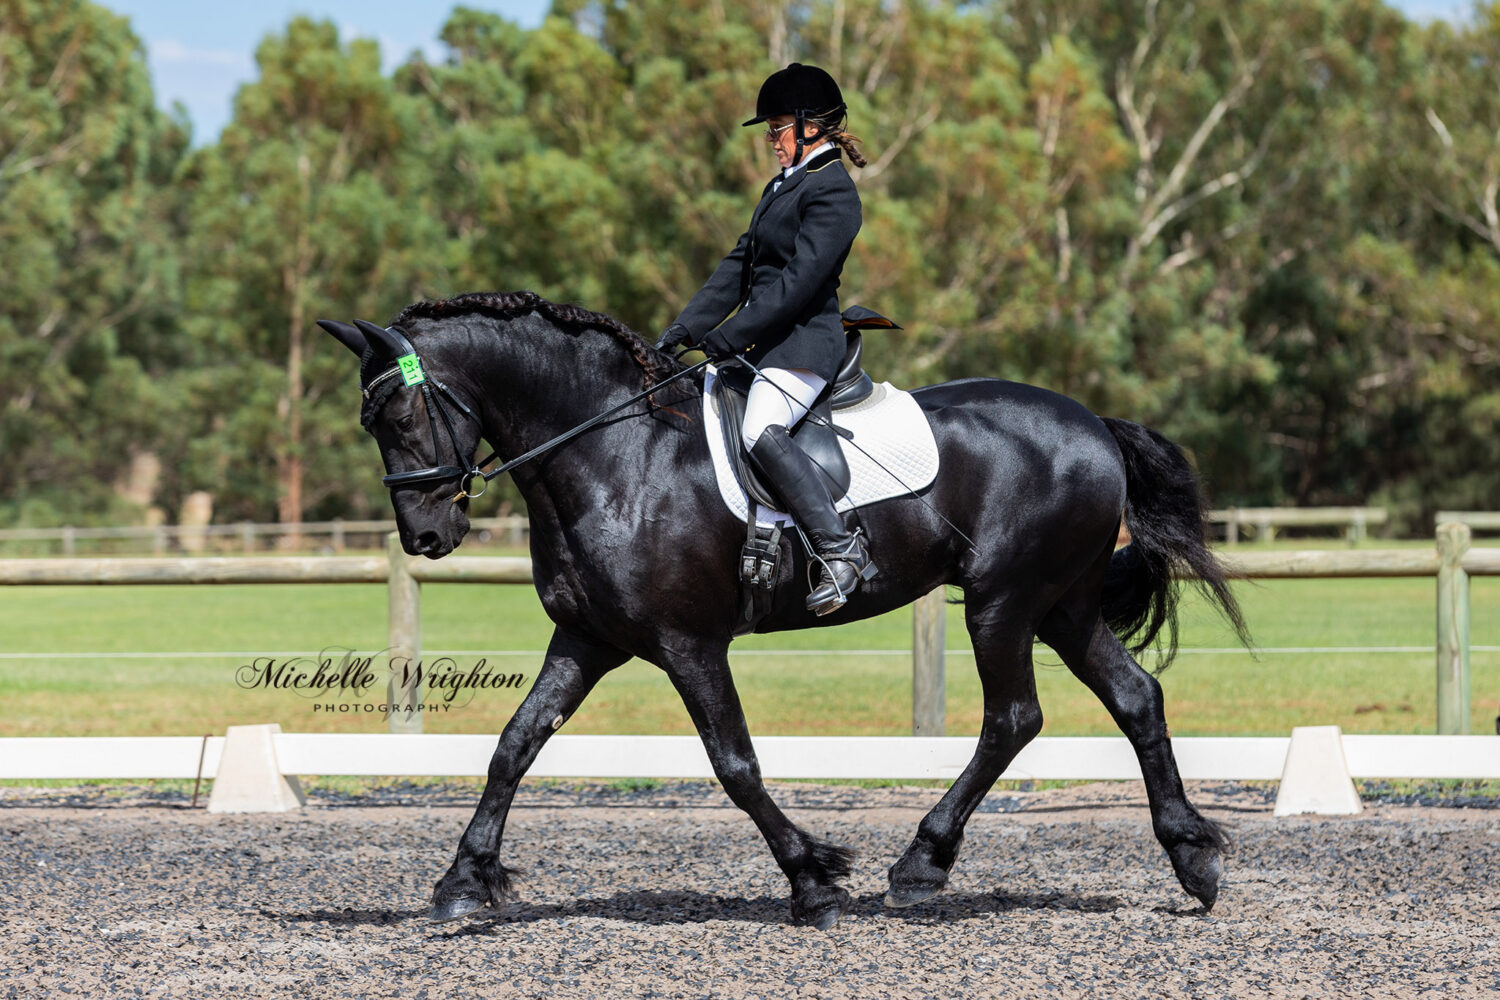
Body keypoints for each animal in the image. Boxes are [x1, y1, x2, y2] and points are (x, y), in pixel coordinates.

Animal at [322, 289, 1248, 929]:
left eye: (397, 410)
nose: (427, 535)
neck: (613, 453)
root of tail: (1091, 421)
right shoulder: (585, 638)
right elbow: (514, 747)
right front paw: (462, 879)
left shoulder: (689, 643)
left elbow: (735, 765)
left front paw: (811, 878)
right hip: (1059, 604)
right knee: (1134, 698)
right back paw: (1191, 861)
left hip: (1003, 601)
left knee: (1013, 718)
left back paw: (921, 864)